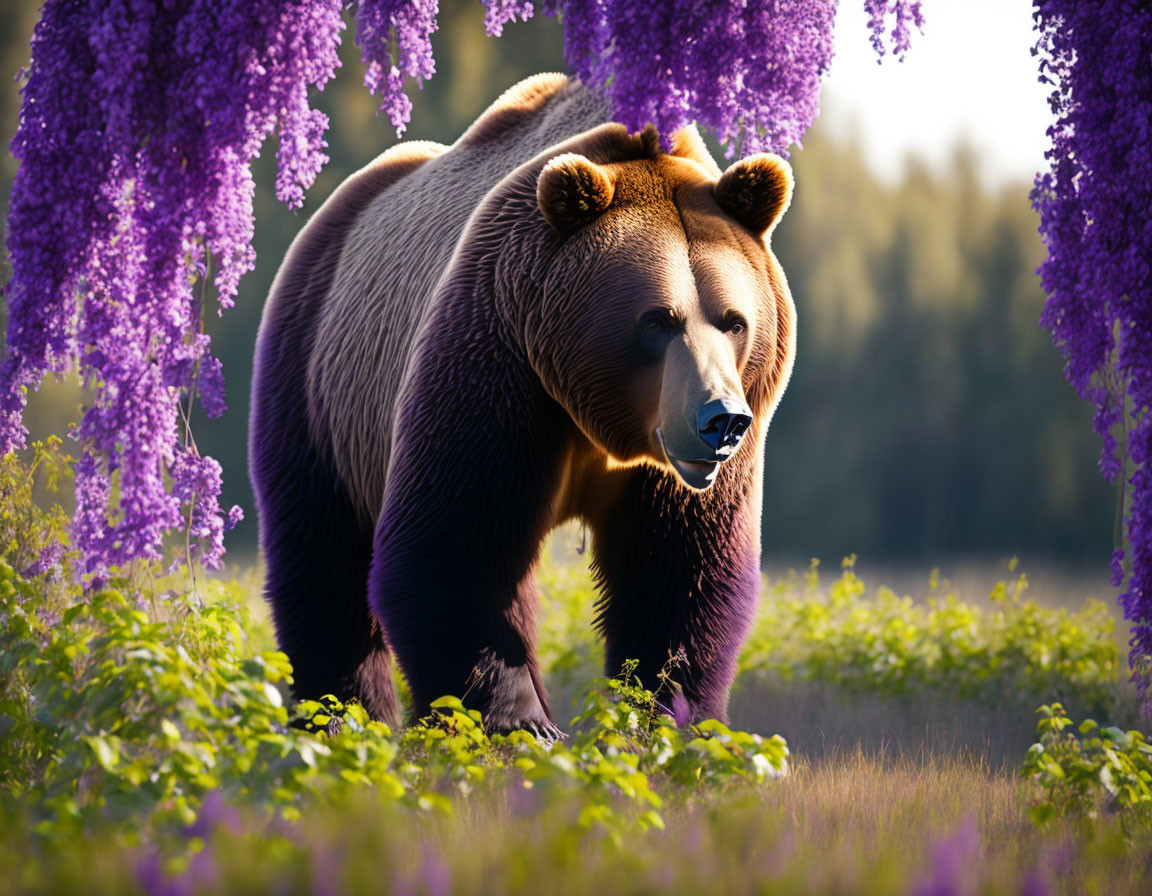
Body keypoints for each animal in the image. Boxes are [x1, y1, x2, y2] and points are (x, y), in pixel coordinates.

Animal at [251, 74, 792, 732]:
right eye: (657, 320)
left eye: (735, 321)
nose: (720, 421)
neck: (599, 415)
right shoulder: (498, 364)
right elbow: (455, 551)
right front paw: (522, 722)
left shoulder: (689, 461)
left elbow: (678, 573)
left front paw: (662, 718)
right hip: (319, 386)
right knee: (323, 561)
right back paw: (343, 717)